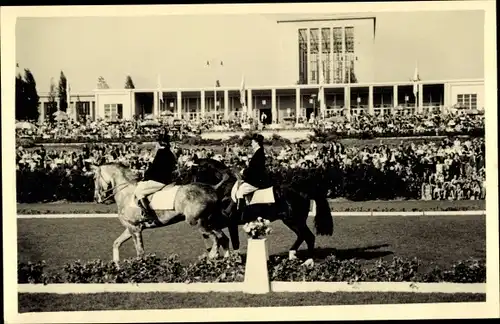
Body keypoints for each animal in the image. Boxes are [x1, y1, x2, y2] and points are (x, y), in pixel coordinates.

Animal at [186, 158, 334, 260]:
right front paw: (215, 252)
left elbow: (233, 240)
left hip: (294, 220)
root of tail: (302, 189)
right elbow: (208, 232)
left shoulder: (230, 222)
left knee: (308, 237)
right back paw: (293, 255)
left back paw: (307, 261)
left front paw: (232, 258)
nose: (191, 192)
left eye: (196, 173)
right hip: (293, 221)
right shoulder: (219, 221)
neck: (224, 191)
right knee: (303, 236)